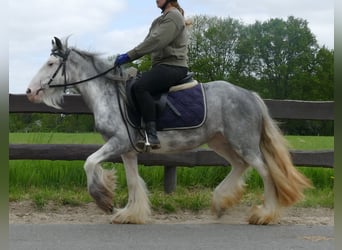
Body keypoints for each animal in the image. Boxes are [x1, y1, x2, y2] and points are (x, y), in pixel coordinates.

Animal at [25, 36, 312, 225]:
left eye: (50, 64)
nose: (29, 92)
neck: (110, 95)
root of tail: (250, 95)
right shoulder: (128, 150)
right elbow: (132, 181)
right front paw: (129, 214)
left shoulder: (118, 142)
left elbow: (89, 162)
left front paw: (104, 200)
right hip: (221, 142)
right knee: (240, 166)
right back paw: (220, 202)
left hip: (244, 143)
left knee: (265, 171)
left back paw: (264, 214)